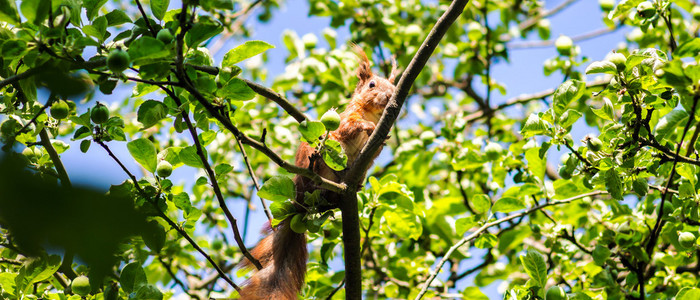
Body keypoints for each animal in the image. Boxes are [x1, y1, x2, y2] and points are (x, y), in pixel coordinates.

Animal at [237, 45, 396, 300]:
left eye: (393, 87)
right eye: (372, 84)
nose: (390, 96)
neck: (373, 114)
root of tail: (302, 198)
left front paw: (381, 138)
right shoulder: (345, 121)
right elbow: (348, 128)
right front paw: (369, 128)